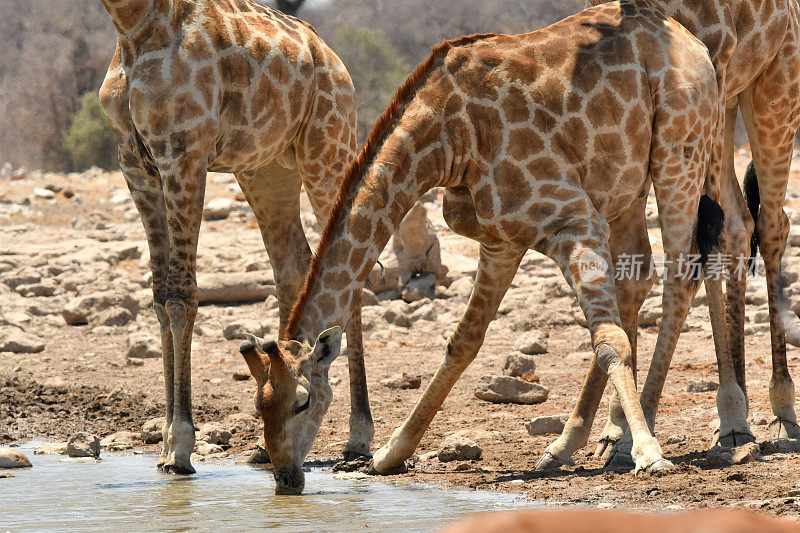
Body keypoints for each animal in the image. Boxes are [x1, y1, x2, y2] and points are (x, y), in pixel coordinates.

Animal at [98, 0, 376, 474]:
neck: (131, 24)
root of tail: (332, 58)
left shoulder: (184, 154)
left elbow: (181, 297)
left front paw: (180, 445)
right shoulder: (134, 162)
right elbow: (159, 298)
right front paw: (165, 445)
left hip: (328, 148)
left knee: (350, 269)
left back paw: (359, 437)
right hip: (266, 170)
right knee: (292, 267)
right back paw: (269, 439)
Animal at [234, 2, 720, 492]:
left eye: (302, 401)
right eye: (259, 404)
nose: (285, 478)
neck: (448, 140)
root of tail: (690, 40)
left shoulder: (573, 217)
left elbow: (608, 341)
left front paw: (649, 453)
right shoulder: (500, 241)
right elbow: (462, 343)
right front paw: (390, 454)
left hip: (679, 154)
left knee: (681, 278)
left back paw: (625, 442)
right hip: (627, 188)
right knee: (638, 278)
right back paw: (567, 447)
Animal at [580, 0, 800, 462]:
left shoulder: (709, 78)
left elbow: (708, 238)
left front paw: (732, 417)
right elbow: (631, 267)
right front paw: (614, 427)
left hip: (772, 90)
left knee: (766, 225)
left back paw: (777, 405)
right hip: (725, 105)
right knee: (742, 224)